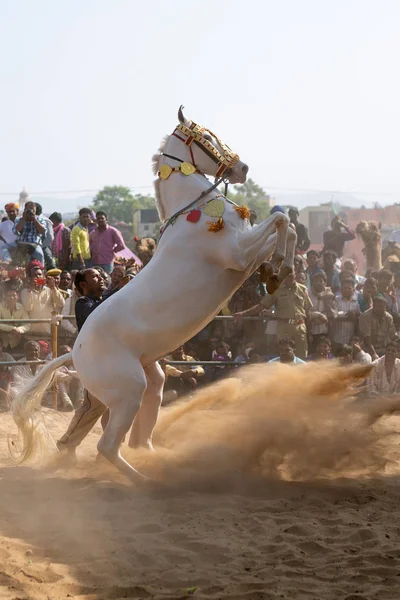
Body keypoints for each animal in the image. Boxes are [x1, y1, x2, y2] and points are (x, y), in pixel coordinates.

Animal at [12, 106, 296, 482]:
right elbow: (281, 221)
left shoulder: (244, 255)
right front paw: (281, 267)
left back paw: (149, 456)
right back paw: (144, 481)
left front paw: (276, 274)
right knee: (106, 445)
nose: (243, 169)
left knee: (137, 422)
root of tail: (74, 353)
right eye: (207, 137)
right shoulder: (237, 255)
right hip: (128, 389)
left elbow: (284, 227)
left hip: (147, 376)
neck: (198, 215)